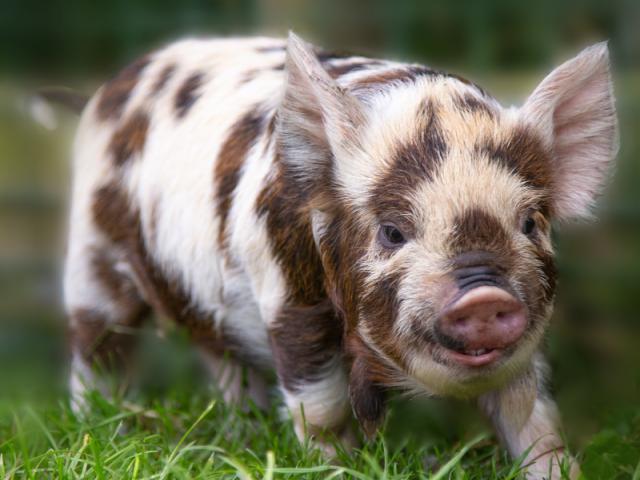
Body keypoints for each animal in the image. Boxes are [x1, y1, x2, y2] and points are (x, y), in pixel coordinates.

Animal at [60, 32, 617, 479]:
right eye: (392, 232)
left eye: (530, 223)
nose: (484, 295)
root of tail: (108, 89)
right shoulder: (290, 297)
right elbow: (319, 405)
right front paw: (336, 466)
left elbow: (532, 414)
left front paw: (561, 471)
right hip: (91, 252)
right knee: (96, 346)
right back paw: (99, 426)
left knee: (222, 358)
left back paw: (243, 433)